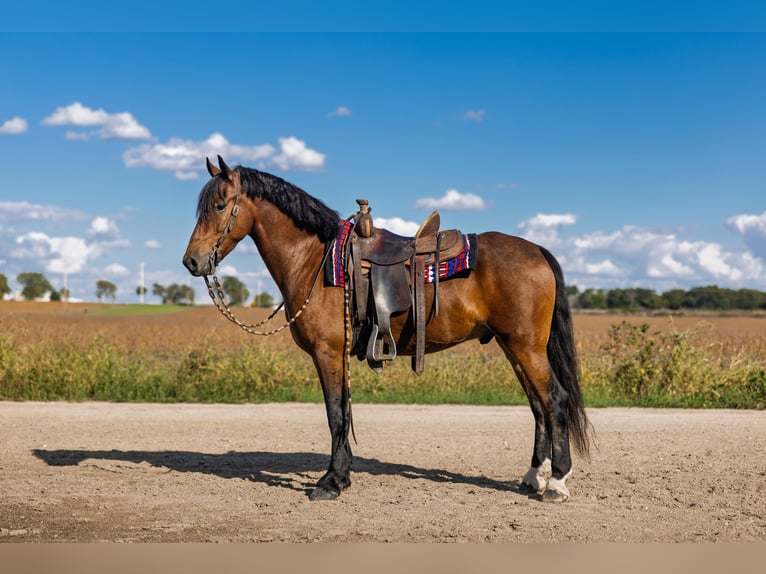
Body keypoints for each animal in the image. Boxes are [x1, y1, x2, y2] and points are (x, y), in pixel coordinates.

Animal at [183, 155, 590, 502]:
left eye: (219, 206)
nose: (191, 261)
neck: (315, 260)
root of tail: (537, 250)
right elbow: (342, 413)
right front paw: (342, 475)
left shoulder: (328, 353)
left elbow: (335, 413)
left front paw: (331, 482)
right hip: (513, 346)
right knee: (538, 405)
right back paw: (533, 477)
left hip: (526, 346)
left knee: (554, 400)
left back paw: (556, 482)